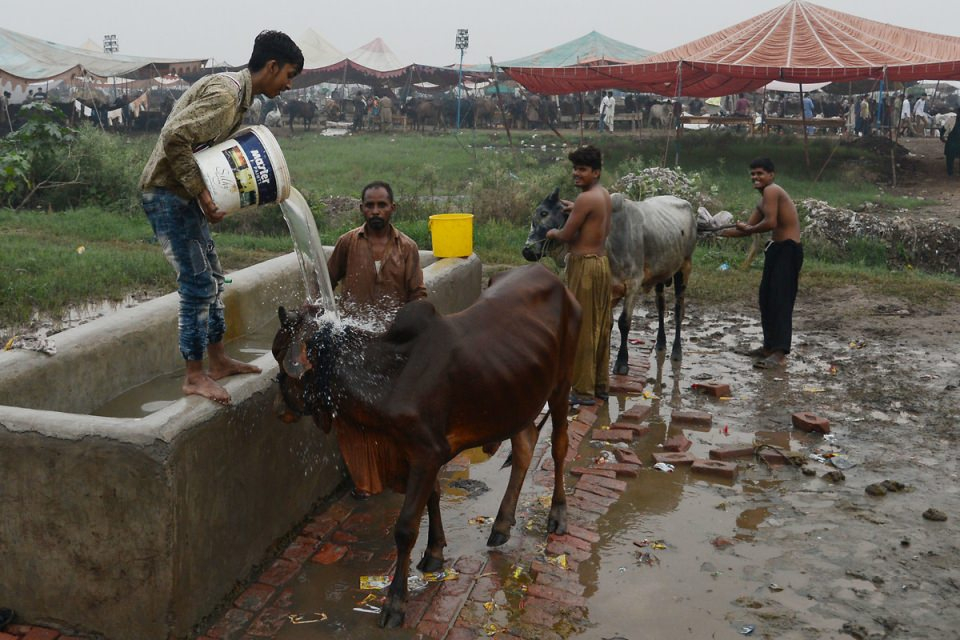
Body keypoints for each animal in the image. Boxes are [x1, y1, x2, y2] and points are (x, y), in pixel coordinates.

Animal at [274, 262, 580, 628]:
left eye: (279, 355)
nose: (278, 409)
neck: (388, 377)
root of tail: (552, 276)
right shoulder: (416, 453)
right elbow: (432, 497)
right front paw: (434, 553)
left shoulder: (425, 453)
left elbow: (406, 527)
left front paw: (395, 603)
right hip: (517, 397)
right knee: (524, 444)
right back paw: (502, 525)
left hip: (561, 384)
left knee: (559, 445)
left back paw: (557, 514)